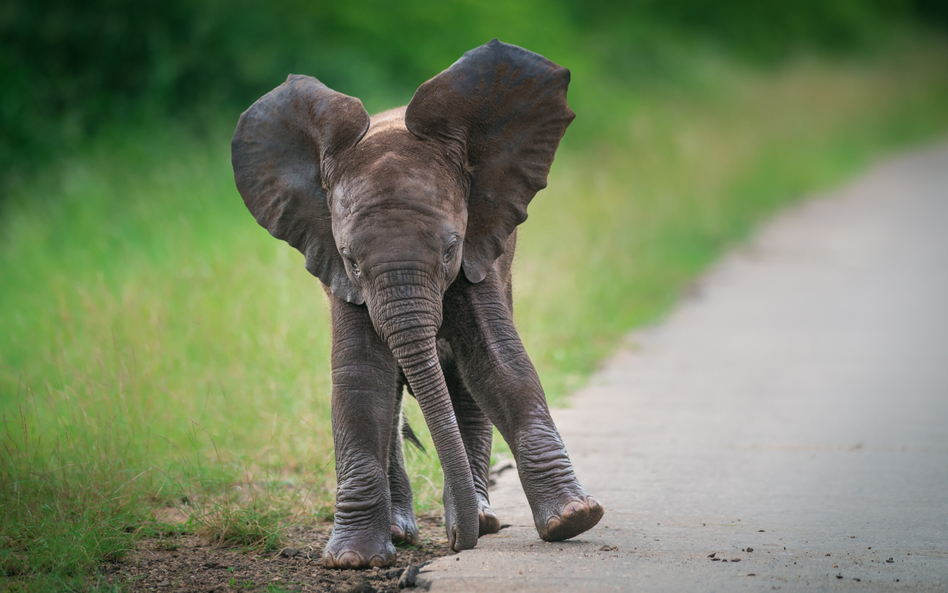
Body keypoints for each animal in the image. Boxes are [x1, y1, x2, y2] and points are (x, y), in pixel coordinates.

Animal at [231, 39, 600, 568]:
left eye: (450, 248)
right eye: (352, 260)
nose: (456, 542)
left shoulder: (478, 251)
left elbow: (499, 364)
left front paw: (574, 520)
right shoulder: (336, 270)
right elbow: (361, 378)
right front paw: (354, 560)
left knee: (462, 385)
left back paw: (480, 519)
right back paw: (403, 531)